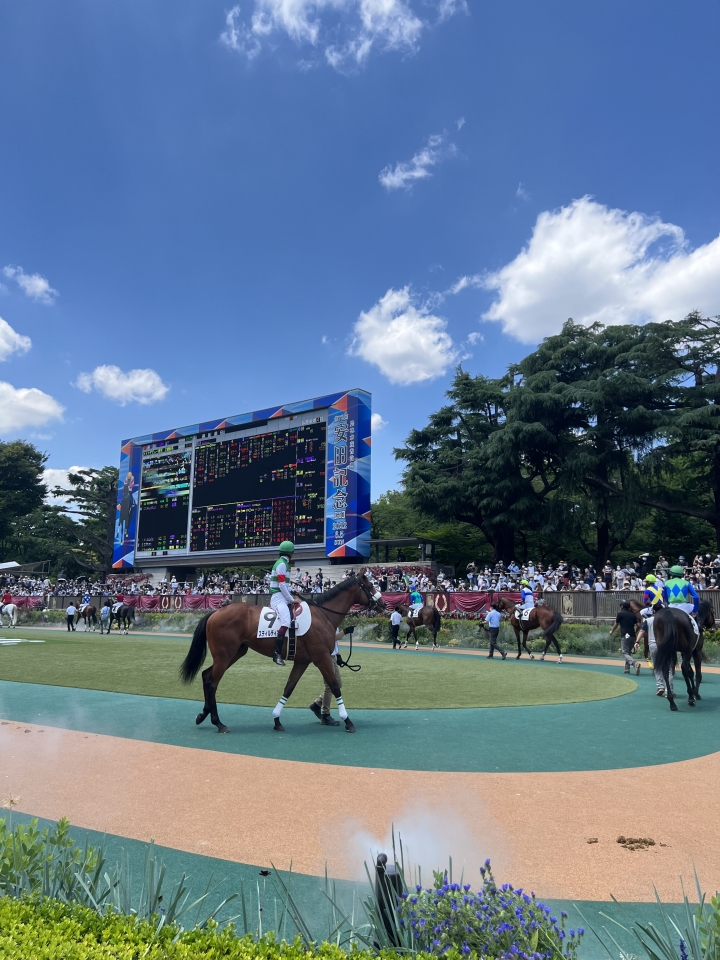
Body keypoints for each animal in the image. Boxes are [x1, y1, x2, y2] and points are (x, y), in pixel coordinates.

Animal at [179, 568, 382, 736]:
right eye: (370, 585)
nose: (382, 604)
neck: (322, 615)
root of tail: (215, 612)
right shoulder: (322, 657)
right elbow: (334, 686)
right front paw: (348, 721)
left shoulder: (302, 661)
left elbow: (289, 687)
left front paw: (276, 719)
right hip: (224, 655)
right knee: (212, 682)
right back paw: (218, 723)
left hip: (235, 653)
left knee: (206, 675)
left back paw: (203, 715)